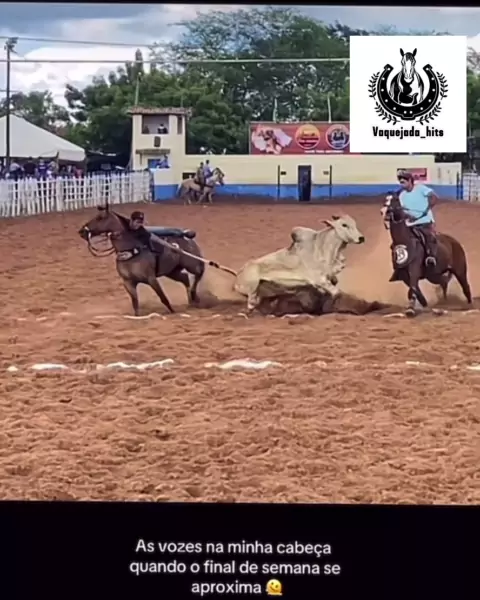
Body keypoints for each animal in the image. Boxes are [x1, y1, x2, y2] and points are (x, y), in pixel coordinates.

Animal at [78, 205, 206, 316]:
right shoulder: (128, 282)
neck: (131, 251)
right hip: (172, 271)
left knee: (199, 273)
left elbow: (163, 297)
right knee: (185, 278)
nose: (82, 231)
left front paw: (173, 312)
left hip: (192, 264)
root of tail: (187, 236)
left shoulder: (151, 279)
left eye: (100, 218)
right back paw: (192, 300)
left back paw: (194, 296)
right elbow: (135, 303)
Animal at [233, 215, 365, 313]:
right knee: (251, 305)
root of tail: (238, 275)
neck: (323, 249)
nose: (361, 238)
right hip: (252, 288)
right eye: (344, 225)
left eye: (354, 223)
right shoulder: (319, 280)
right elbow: (336, 293)